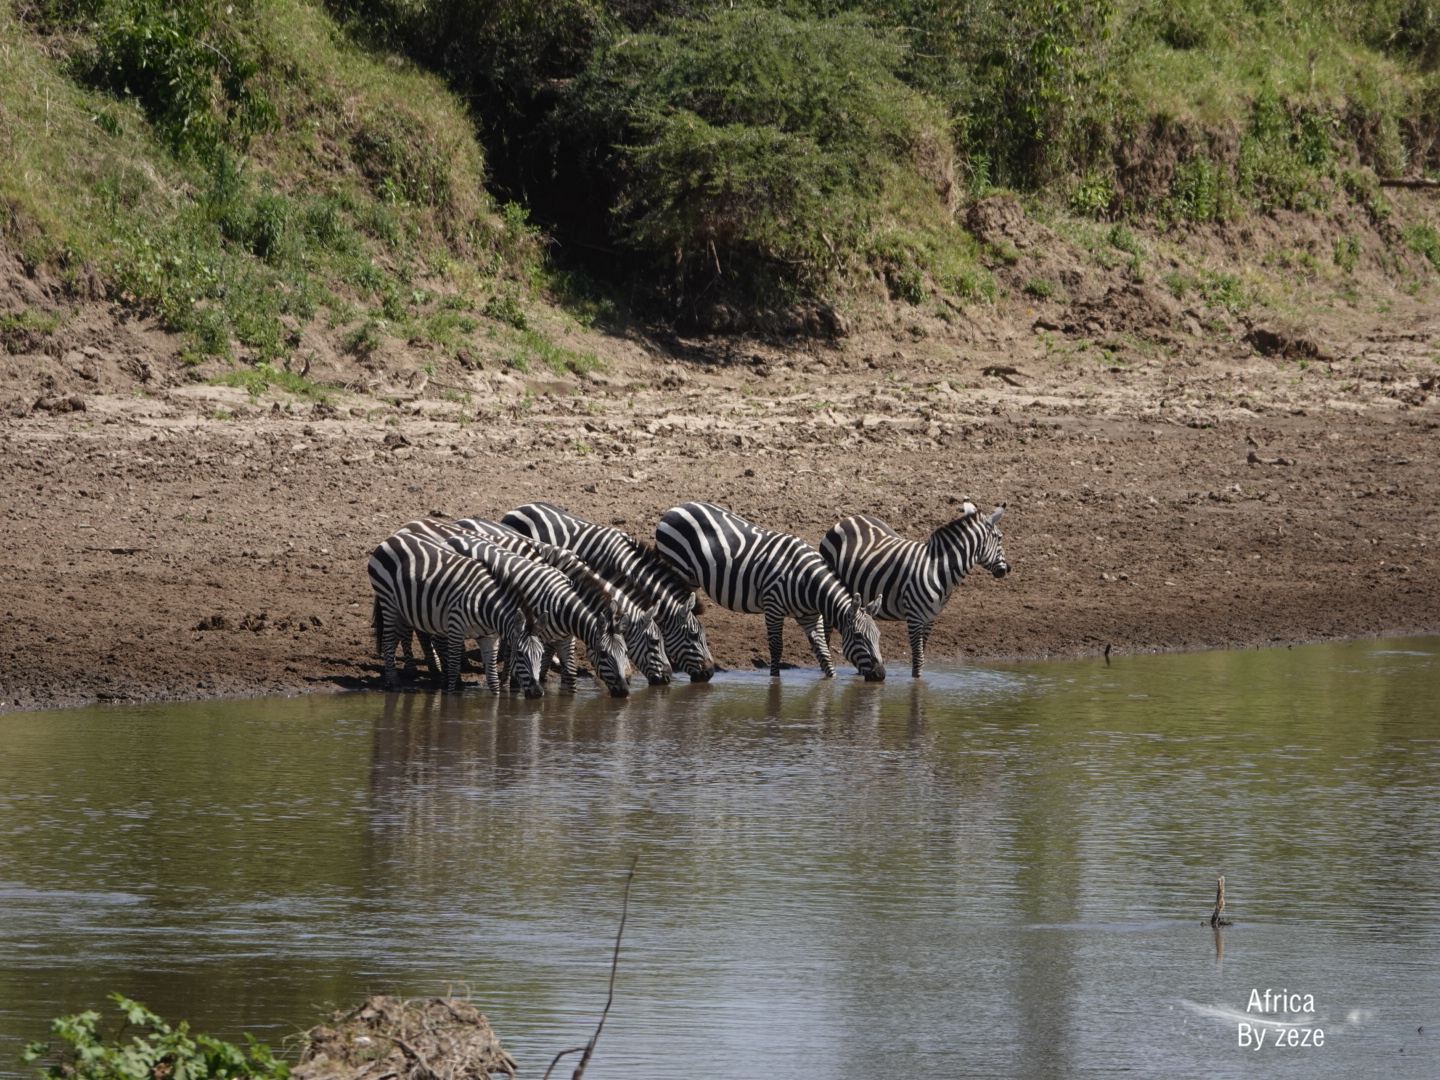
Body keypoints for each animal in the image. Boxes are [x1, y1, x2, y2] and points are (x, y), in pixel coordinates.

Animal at [368, 535, 547, 702]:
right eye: (520, 654)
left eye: (541, 653)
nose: (537, 693)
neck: (484, 605)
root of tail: (393, 538)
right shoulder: (456, 628)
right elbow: (454, 669)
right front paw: (451, 698)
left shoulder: (489, 638)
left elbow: (493, 678)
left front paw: (495, 701)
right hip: (387, 599)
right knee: (388, 640)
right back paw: (393, 682)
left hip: (404, 608)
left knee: (396, 637)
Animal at [443, 532, 636, 702]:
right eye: (603, 654)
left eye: (626, 652)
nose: (624, 691)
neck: (561, 608)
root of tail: (455, 537)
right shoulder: (535, 636)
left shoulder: (565, 639)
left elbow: (570, 675)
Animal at [656, 504, 881, 679]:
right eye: (859, 636)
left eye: (878, 636)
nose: (880, 675)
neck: (808, 583)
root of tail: (675, 508)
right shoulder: (773, 605)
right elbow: (776, 646)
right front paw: (775, 681)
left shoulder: (810, 616)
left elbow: (823, 651)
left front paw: (830, 681)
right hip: (679, 571)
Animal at [823, 501, 1013, 676]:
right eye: (1000, 537)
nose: (1007, 569)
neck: (937, 569)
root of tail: (847, 519)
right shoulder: (914, 617)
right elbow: (918, 658)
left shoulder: (930, 618)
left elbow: (921, 656)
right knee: (826, 633)